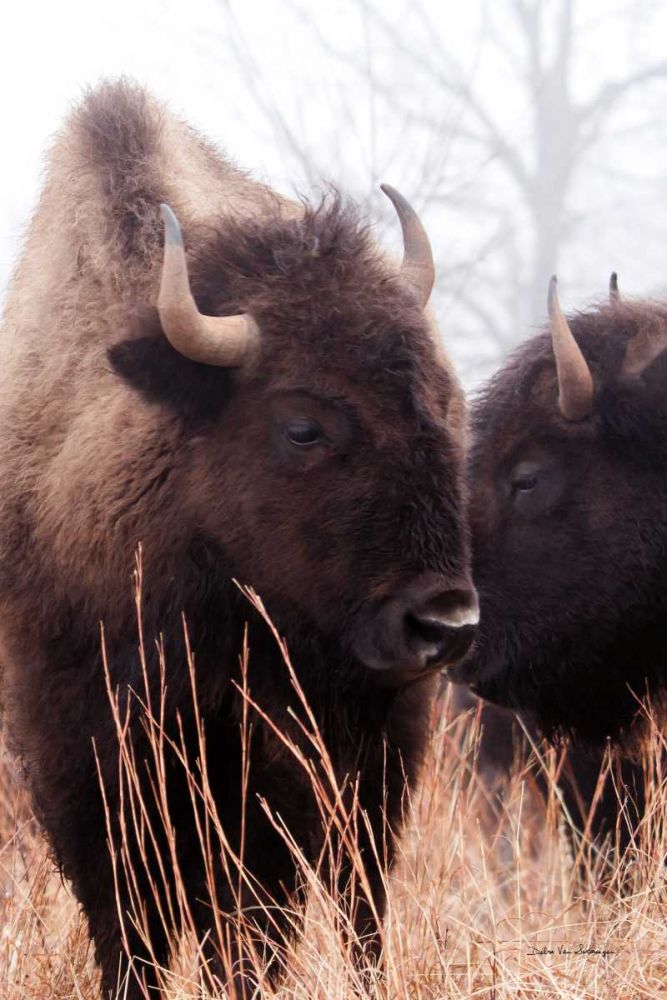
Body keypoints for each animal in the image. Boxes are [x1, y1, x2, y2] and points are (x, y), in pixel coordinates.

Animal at [0, 81, 478, 997]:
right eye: (302, 427)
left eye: (446, 405)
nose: (443, 622)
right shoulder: (77, 751)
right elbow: (130, 920)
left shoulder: (280, 771)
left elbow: (252, 922)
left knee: (357, 903)